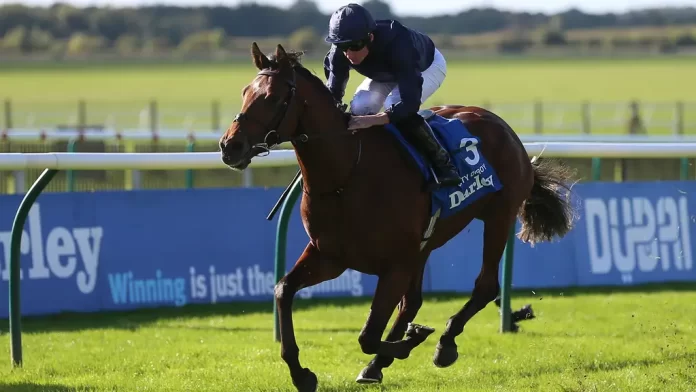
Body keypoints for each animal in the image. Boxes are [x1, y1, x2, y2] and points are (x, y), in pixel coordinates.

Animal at [219, 43, 576, 392]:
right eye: (245, 92)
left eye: (273, 97)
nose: (229, 146)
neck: (346, 175)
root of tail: (503, 127)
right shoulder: (330, 256)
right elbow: (283, 290)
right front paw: (301, 373)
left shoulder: (394, 265)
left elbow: (367, 335)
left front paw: (410, 341)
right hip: (426, 244)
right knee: (413, 301)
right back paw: (380, 364)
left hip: (499, 216)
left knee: (484, 286)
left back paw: (444, 343)